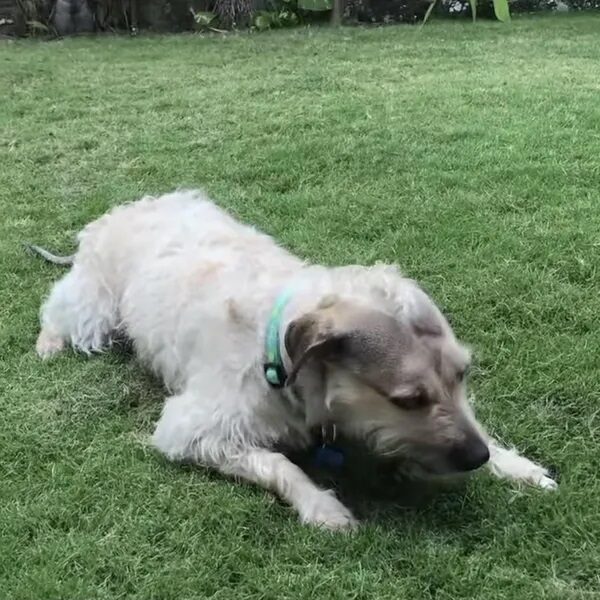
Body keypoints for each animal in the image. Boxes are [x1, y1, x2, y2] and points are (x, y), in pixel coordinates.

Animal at [32, 189, 556, 528]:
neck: (284, 358)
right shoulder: (195, 428)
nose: (475, 457)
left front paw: (512, 464)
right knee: (59, 308)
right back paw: (49, 342)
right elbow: (281, 466)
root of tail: (123, 209)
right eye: (409, 399)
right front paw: (324, 507)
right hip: (94, 309)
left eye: (462, 375)